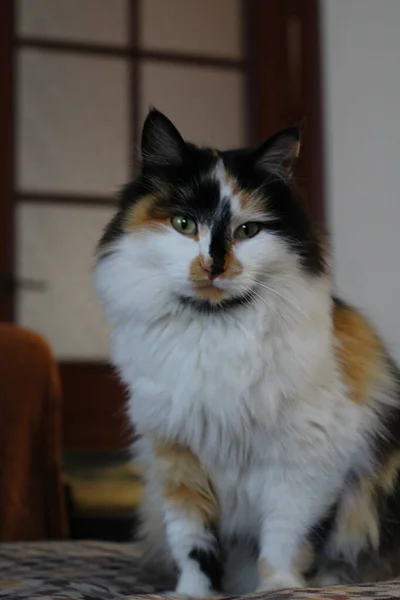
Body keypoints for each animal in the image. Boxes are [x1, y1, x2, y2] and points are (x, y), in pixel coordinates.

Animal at [94, 109, 400, 596]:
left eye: (248, 230)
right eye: (184, 224)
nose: (213, 266)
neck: (214, 330)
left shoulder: (306, 460)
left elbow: (284, 538)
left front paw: (280, 588)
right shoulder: (176, 456)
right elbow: (193, 543)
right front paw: (193, 593)